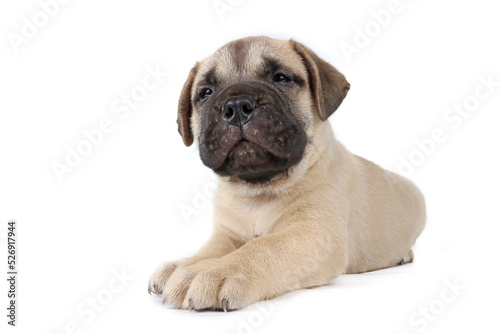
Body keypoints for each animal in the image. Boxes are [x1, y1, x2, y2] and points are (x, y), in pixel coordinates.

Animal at [147, 36, 426, 310]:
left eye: (281, 77)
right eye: (206, 92)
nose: (236, 106)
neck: (258, 192)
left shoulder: (314, 234)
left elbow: (263, 246)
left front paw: (213, 272)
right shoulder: (228, 235)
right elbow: (209, 250)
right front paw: (183, 265)